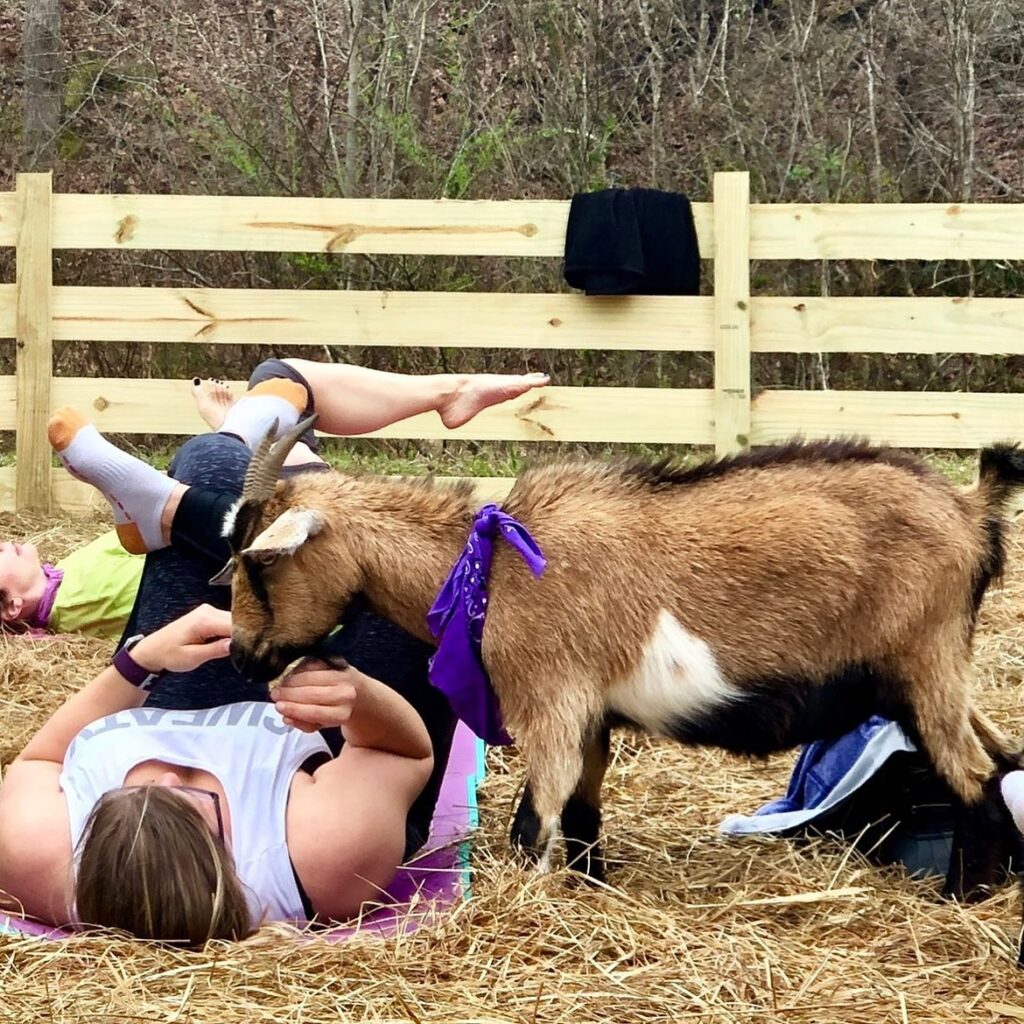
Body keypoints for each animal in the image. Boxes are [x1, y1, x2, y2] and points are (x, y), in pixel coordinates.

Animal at [222, 422, 1024, 894]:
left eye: (258, 565)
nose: (242, 656)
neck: (488, 563)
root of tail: (971, 509)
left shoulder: (550, 700)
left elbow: (535, 820)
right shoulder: (593, 715)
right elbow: (581, 812)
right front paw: (591, 887)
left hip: (924, 663)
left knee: (976, 777)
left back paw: (965, 893)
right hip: (932, 675)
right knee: (1002, 756)